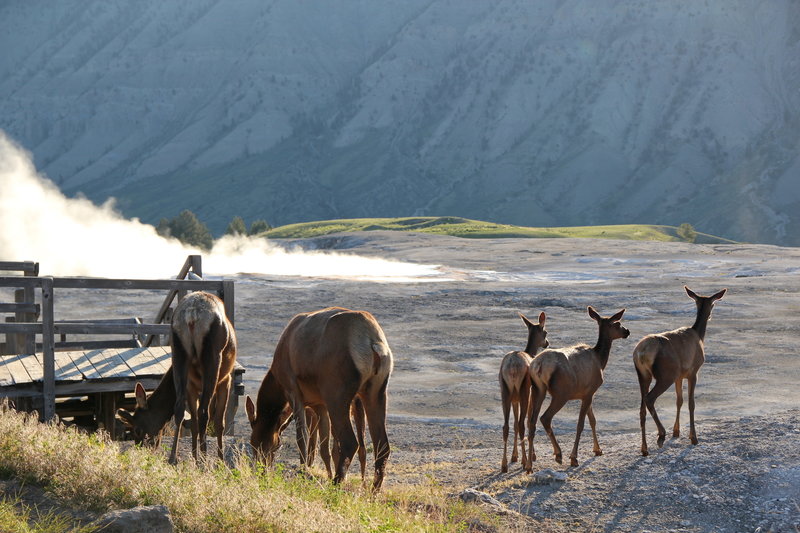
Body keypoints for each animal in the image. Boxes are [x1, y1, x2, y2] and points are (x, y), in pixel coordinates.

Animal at [166, 288, 234, 464]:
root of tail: (192, 315)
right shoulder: (226, 381)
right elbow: (220, 422)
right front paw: (220, 460)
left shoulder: (192, 385)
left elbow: (193, 421)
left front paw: (194, 457)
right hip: (213, 358)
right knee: (204, 412)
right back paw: (204, 460)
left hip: (178, 353)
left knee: (180, 408)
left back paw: (174, 458)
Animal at [245, 308, 392, 490]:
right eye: (253, 443)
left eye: (276, 445)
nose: (262, 473)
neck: (276, 379)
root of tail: (371, 342)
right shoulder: (319, 405)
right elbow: (323, 447)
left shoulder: (293, 391)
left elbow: (302, 437)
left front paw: (303, 473)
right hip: (375, 392)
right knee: (382, 445)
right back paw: (372, 491)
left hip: (337, 395)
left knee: (350, 442)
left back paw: (336, 486)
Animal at [500, 310, 552, 472]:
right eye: (545, 331)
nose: (547, 343)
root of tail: (512, 368)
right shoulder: (530, 395)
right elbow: (528, 422)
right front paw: (531, 456)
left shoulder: (514, 400)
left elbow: (515, 425)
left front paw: (514, 456)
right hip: (523, 391)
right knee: (523, 424)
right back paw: (525, 462)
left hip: (505, 391)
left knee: (506, 426)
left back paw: (504, 465)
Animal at [528, 308, 628, 466]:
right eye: (617, 323)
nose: (627, 331)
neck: (601, 360)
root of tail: (538, 366)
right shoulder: (590, 391)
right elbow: (581, 424)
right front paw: (574, 457)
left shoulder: (586, 393)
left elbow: (593, 420)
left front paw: (598, 450)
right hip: (561, 393)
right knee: (545, 418)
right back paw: (558, 454)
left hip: (537, 390)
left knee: (531, 421)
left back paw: (529, 462)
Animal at [636, 284, 728, 456]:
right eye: (713, 303)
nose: (711, 316)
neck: (699, 336)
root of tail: (642, 353)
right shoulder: (693, 371)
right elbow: (691, 403)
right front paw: (694, 438)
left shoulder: (680, 376)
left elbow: (679, 400)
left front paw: (676, 431)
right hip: (666, 374)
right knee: (649, 398)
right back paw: (661, 435)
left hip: (643, 375)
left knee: (642, 408)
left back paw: (644, 449)